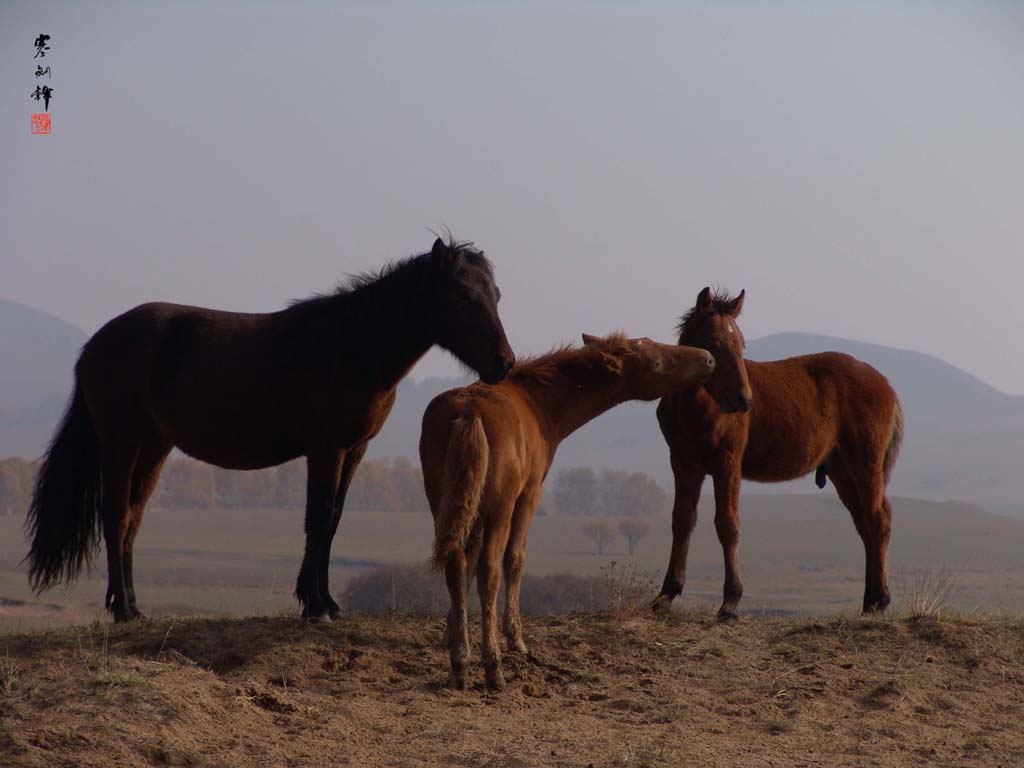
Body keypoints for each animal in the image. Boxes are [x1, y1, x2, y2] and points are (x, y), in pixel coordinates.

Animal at [24, 237, 516, 622]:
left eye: (495, 294)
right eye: (462, 296)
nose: (504, 363)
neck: (352, 346)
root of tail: (95, 343)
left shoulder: (353, 451)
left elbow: (333, 521)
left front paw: (326, 602)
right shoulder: (326, 450)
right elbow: (318, 518)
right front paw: (315, 606)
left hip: (153, 448)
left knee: (132, 518)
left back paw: (131, 605)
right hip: (121, 443)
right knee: (116, 515)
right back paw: (123, 609)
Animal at [419, 331, 716, 692]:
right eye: (656, 362)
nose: (708, 359)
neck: (536, 405)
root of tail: (469, 413)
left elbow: (468, 560)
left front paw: (451, 634)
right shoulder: (529, 493)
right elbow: (513, 560)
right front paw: (515, 638)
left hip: (445, 500)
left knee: (455, 560)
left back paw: (460, 665)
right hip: (500, 503)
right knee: (490, 570)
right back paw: (493, 667)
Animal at [651, 290, 901, 626]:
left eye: (742, 345)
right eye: (713, 344)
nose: (744, 400)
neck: (698, 407)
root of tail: (886, 384)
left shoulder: (727, 463)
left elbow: (727, 525)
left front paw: (730, 603)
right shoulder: (682, 463)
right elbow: (682, 521)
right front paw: (666, 595)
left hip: (865, 463)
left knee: (878, 518)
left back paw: (881, 599)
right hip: (842, 471)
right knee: (865, 524)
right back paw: (869, 601)